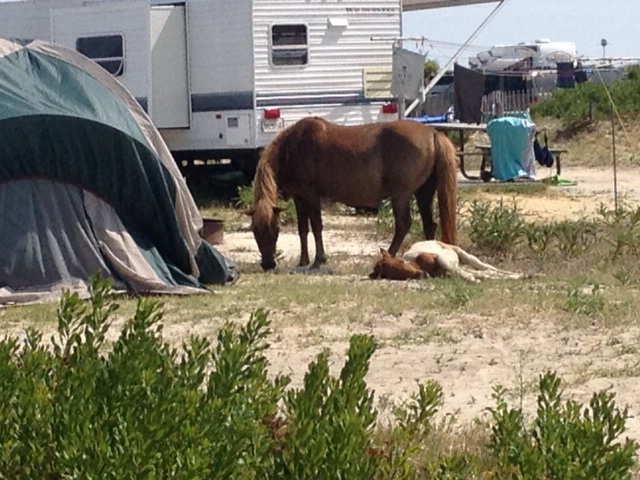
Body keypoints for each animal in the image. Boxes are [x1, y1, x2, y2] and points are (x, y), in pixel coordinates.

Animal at [248, 117, 458, 271]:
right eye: (255, 231)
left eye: (275, 229)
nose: (268, 264)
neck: (292, 147)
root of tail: (433, 133)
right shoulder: (299, 198)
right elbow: (302, 229)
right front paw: (303, 261)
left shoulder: (310, 195)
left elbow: (316, 226)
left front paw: (318, 260)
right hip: (423, 192)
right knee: (429, 224)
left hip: (401, 195)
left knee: (403, 224)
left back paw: (388, 256)